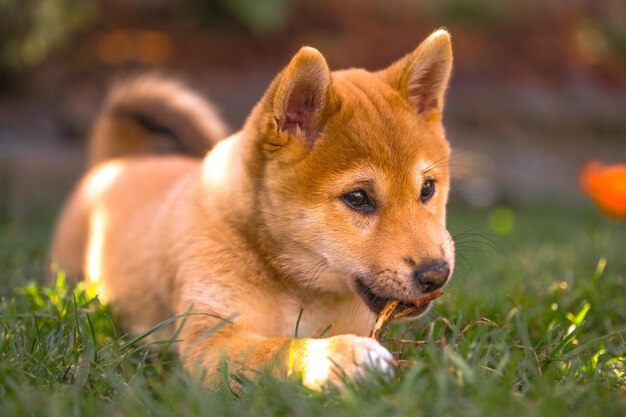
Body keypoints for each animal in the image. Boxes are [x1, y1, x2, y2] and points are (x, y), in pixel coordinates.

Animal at [51, 30, 454, 390]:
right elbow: (280, 349)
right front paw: (341, 357)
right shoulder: (211, 340)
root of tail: (116, 163)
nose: (437, 275)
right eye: (357, 198)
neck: (297, 288)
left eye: (427, 189)